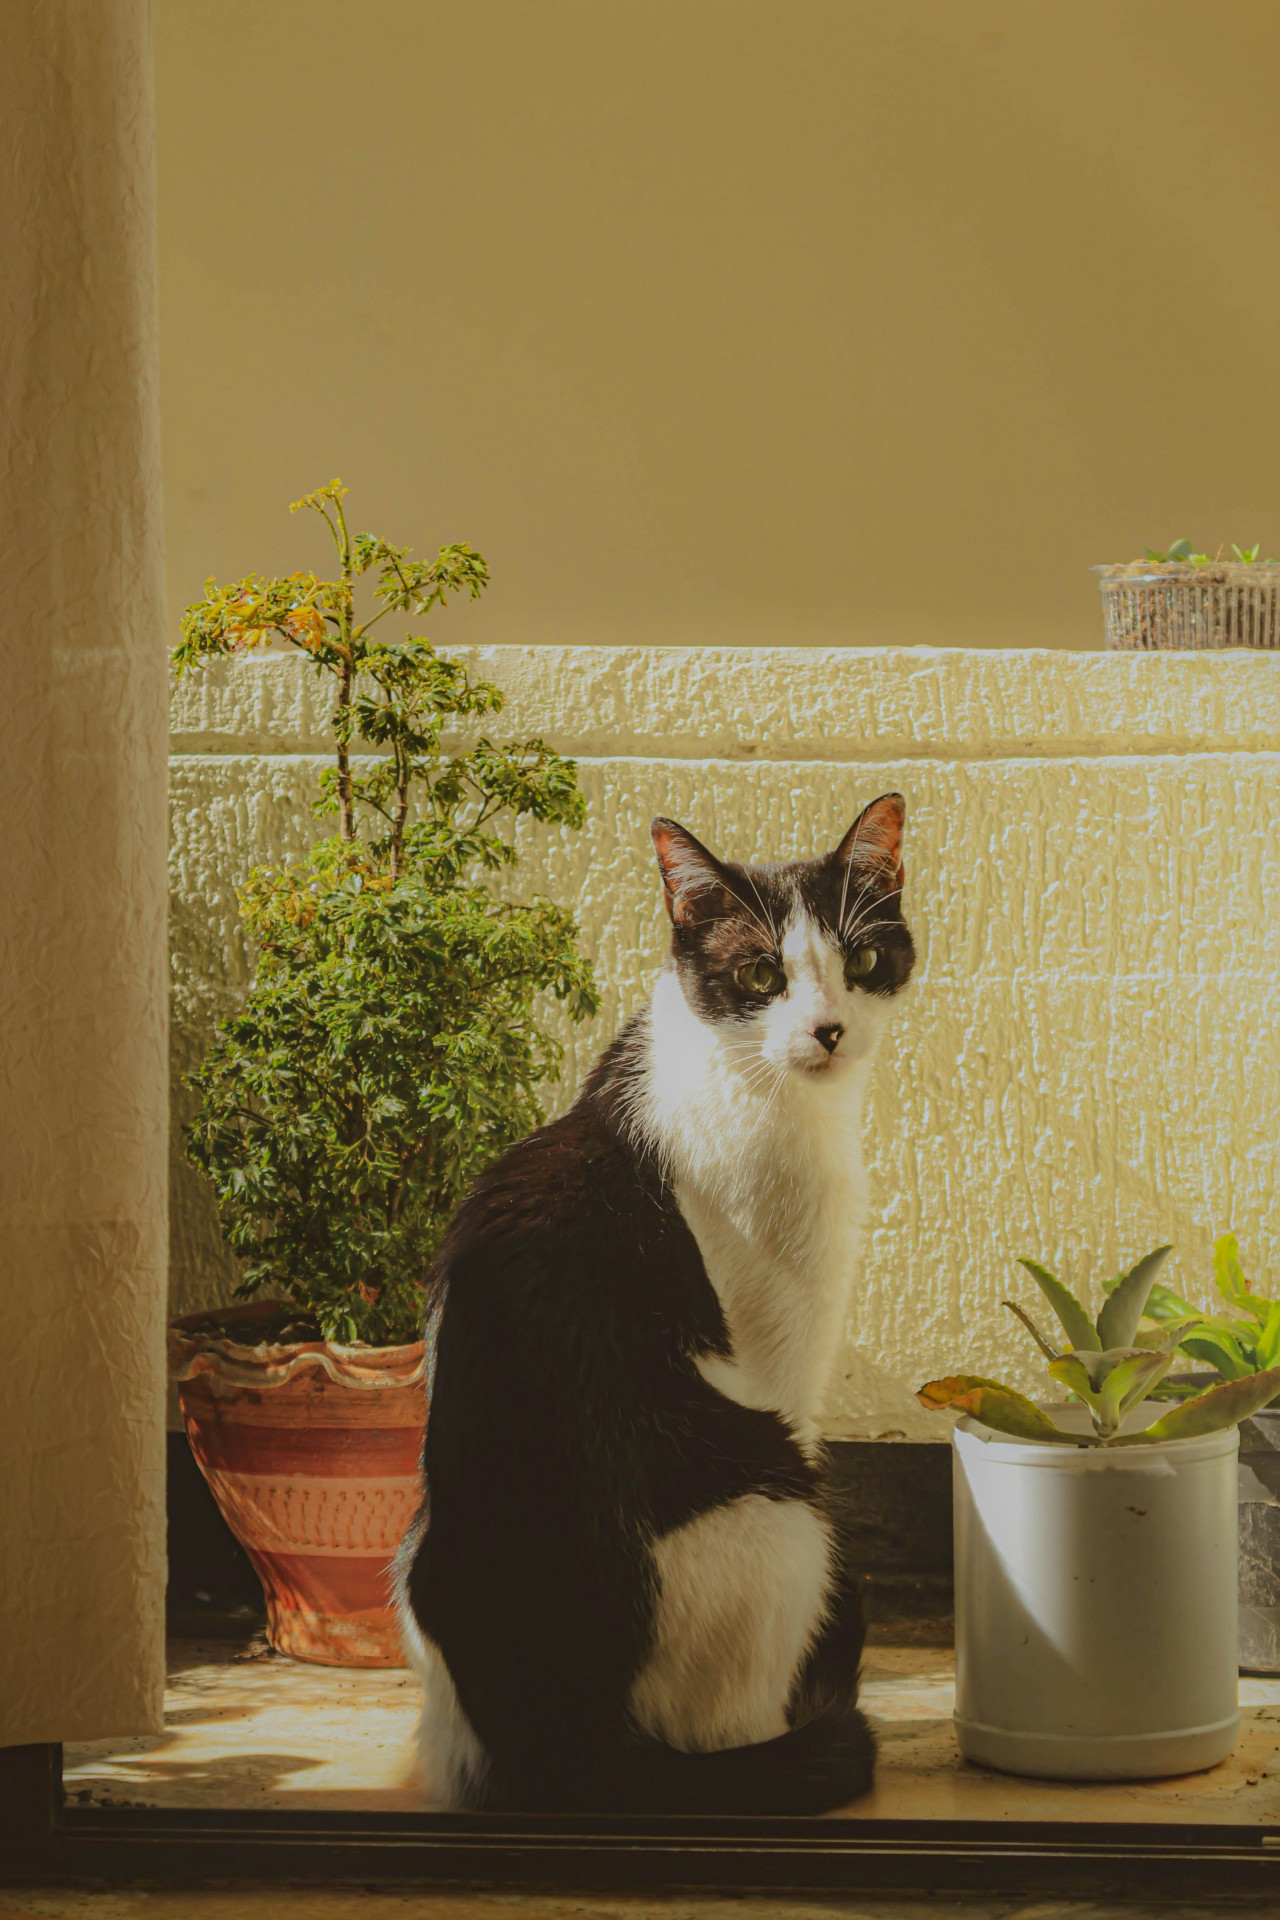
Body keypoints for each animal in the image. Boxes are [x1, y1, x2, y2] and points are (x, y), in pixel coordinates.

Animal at [395, 794, 917, 1812]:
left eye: (864, 962)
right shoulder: (781, 1359)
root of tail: (560, 1743)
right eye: (759, 974)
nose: (829, 1029)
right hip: (777, 1508)